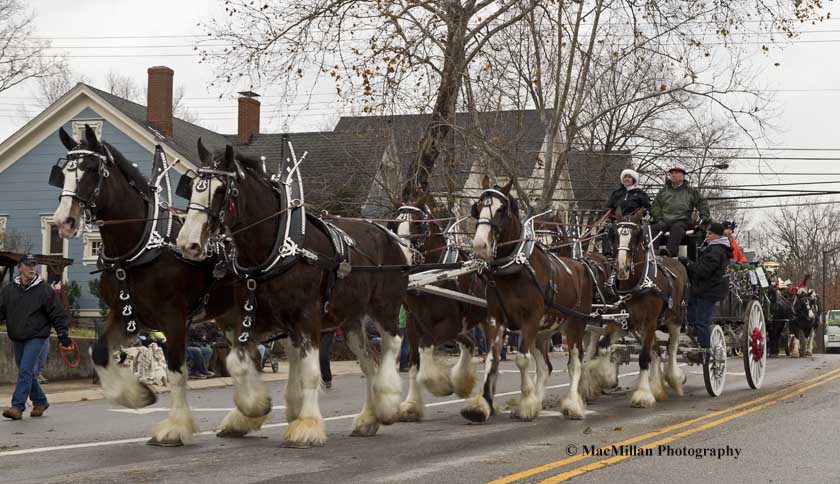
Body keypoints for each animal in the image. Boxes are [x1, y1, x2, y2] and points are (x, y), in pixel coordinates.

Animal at [50, 125, 235, 446]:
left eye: (91, 169)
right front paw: (137, 395)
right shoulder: (126, 315)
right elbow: (100, 353)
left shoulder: (174, 319)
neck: (140, 247)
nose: (65, 220)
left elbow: (176, 371)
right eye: (64, 172)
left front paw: (176, 428)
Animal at [176, 142, 408, 447]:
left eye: (221, 190)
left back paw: (388, 404)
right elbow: (239, 362)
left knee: (393, 345)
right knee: (369, 362)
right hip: (351, 319)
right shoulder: (254, 319)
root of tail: (389, 236)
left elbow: (309, 373)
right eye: (193, 187)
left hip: (385, 307)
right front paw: (253, 409)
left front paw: (306, 426)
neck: (272, 248)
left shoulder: (306, 318)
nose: (187, 243)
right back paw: (368, 419)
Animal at [391, 192, 486, 421]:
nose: (402, 262)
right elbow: (414, 363)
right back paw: (463, 383)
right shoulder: (413, 323)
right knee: (470, 342)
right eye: (395, 225)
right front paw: (411, 405)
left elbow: (425, 347)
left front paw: (440, 385)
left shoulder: (447, 324)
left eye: (418, 224)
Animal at [465, 176, 593, 422]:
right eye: (477, 207)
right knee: (545, 367)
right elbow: (491, 358)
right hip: (543, 333)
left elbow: (522, 360)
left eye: (501, 209)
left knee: (575, 362)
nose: (479, 245)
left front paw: (525, 404)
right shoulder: (495, 318)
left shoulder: (530, 318)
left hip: (575, 324)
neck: (513, 267)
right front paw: (482, 405)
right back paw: (539, 401)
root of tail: (581, 265)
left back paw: (573, 405)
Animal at [591, 208, 689, 407]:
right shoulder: (622, 322)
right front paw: (605, 377)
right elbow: (604, 345)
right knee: (657, 351)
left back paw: (674, 378)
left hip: (675, 318)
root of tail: (676, 261)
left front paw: (643, 395)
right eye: (614, 234)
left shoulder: (650, 322)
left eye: (637, 235)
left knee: (671, 347)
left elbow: (644, 358)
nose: (622, 267)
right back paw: (657, 386)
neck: (635, 285)